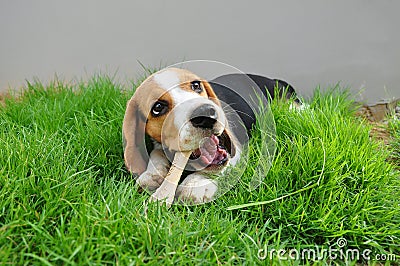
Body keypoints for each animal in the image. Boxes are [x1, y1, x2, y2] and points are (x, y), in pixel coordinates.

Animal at [123, 67, 298, 205]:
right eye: (158, 107)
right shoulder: (159, 145)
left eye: (196, 85)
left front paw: (194, 184)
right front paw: (152, 175)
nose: (206, 114)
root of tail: (272, 79)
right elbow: (156, 153)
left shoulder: (235, 150)